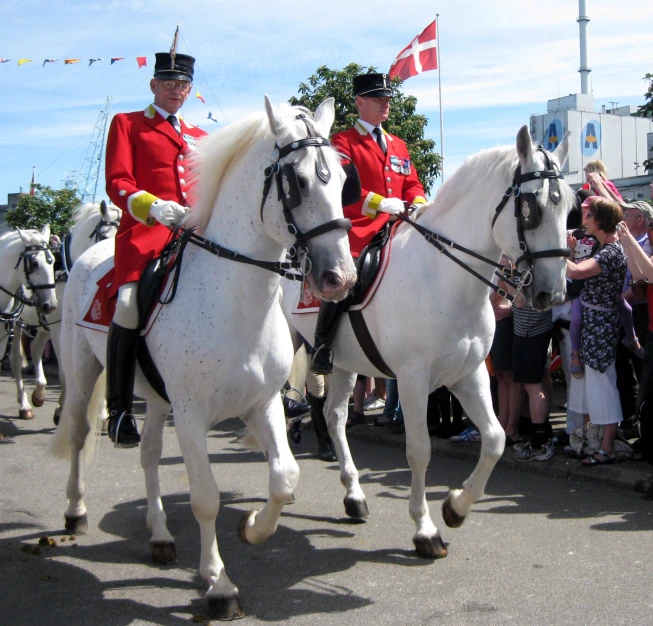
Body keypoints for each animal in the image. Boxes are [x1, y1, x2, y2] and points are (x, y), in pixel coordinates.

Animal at [51, 98, 356, 620]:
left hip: (157, 399)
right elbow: (206, 498)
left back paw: (158, 534)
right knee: (76, 434)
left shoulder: (263, 403)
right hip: (82, 371)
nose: (340, 277)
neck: (236, 302)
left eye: (340, 178)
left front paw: (252, 528)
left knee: (150, 453)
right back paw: (76, 511)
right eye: (295, 181)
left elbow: (284, 477)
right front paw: (218, 584)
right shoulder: (192, 415)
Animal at [282, 125, 572, 556]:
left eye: (569, 207)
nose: (552, 294)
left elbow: (495, 439)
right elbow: (419, 451)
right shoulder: (414, 380)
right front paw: (425, 529)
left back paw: (354, 496)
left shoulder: (470, 374)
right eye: (530, 207)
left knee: (334, 415)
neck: (445, 277)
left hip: (343, 360)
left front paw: (456, 507)